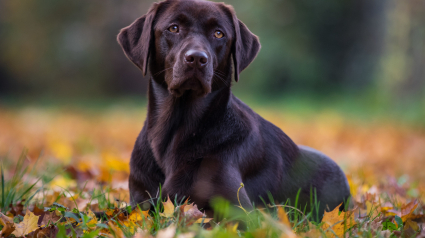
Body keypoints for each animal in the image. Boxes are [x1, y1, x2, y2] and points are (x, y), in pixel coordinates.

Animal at [117, 0, 350, 218]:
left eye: (218, 33)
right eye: (173, 28)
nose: (197, 58)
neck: (177, 129)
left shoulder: (239, 210)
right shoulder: (140, 202)